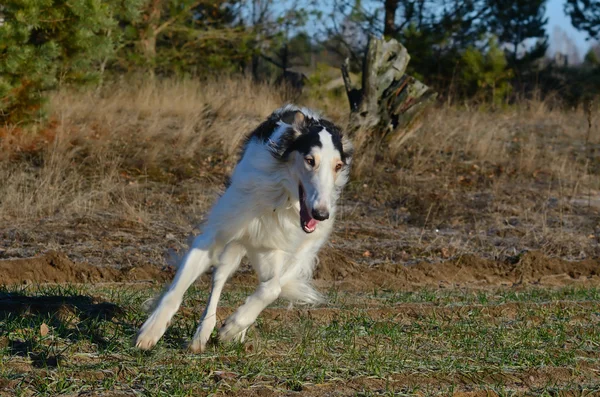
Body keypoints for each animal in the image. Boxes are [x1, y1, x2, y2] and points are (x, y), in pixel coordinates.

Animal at [135, 104, 352, 350]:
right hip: (234, 248)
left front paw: (233, 326)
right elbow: (177, 289)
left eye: (338, 166)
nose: (321, 214)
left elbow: (271, 289)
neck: (281, 195)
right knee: (218, 281)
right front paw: (151, 330)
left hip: (290, 252)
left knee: (274, 283)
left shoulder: (278, 249)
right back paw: (202, 335)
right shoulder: (213, 236)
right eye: (310, 160)